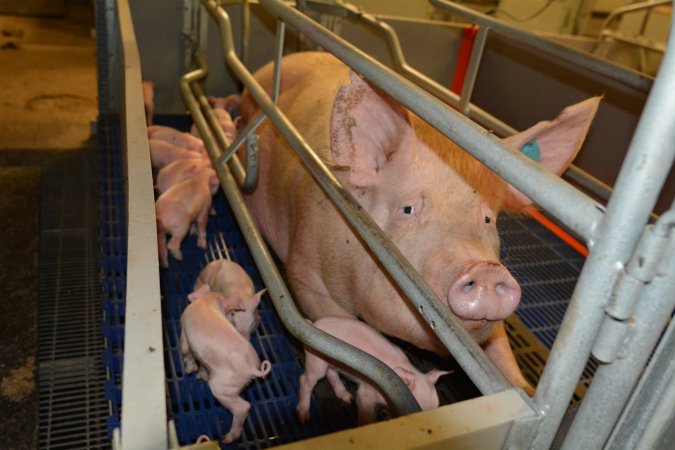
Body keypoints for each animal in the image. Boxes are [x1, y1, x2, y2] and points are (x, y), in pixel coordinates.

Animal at [182, 286, 274, 442]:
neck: (205, 302)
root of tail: (252, 369)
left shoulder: (183, 330)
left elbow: (185, 350)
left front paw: (189, 371)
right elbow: (203, 365)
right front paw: (200, 376)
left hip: (221, 387)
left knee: (244, 407)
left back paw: (226, 438)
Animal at [240, 51, 600, 394]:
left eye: (488, 218)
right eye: (409, 209)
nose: (486, 269)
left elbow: (500, 352)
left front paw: (524, 388)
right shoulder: (303, 270)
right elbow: (343, 327)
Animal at [298, 314, 448, 424]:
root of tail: (313, 324)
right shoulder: (366, 393)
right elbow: (365, 415)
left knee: (331, 373)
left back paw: (347, 397)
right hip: (315, 359)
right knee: (305, 379)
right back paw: (303, 416)